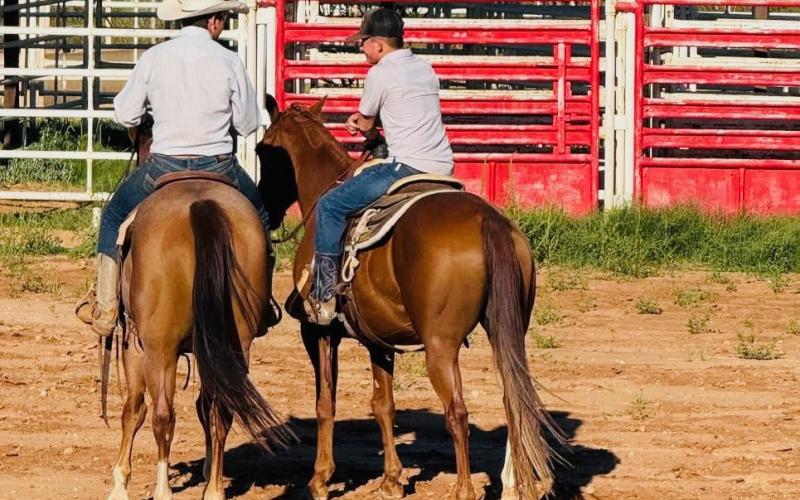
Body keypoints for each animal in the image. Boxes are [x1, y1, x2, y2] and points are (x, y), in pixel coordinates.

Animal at [101, 128, 294, 500]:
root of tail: (201, 205)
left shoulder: (135, 344)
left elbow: (134, 408)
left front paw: (120, 483)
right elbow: (205, 406)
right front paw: (206, 472)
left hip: (159, 347)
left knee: (163, 413)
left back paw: (162, 489)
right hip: (235, 342)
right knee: (222, 411)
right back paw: (214, 489)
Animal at [256, 98, 562, 500]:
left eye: (262, 150)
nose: (267, 209)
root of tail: (488, 221)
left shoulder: (318, 331)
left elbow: (325, 403)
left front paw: (320, 478)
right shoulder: (377, 338)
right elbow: (383, 404)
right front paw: (391, 479)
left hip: (440, 345)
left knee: (457, 412)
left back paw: (464, 490)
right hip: (507, 333)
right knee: (515, 401)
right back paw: (517, 485)